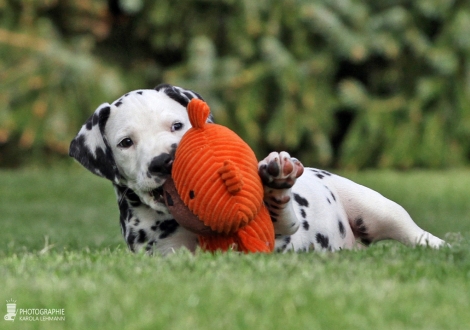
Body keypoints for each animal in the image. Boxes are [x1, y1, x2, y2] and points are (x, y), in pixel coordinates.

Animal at [69, 84, 444, 254]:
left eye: (176, 125)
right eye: (126, 143)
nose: (163, 161)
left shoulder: (280, 240)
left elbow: (281, 218)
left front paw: (276, 183)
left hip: (378, 208)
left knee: (415, 234)